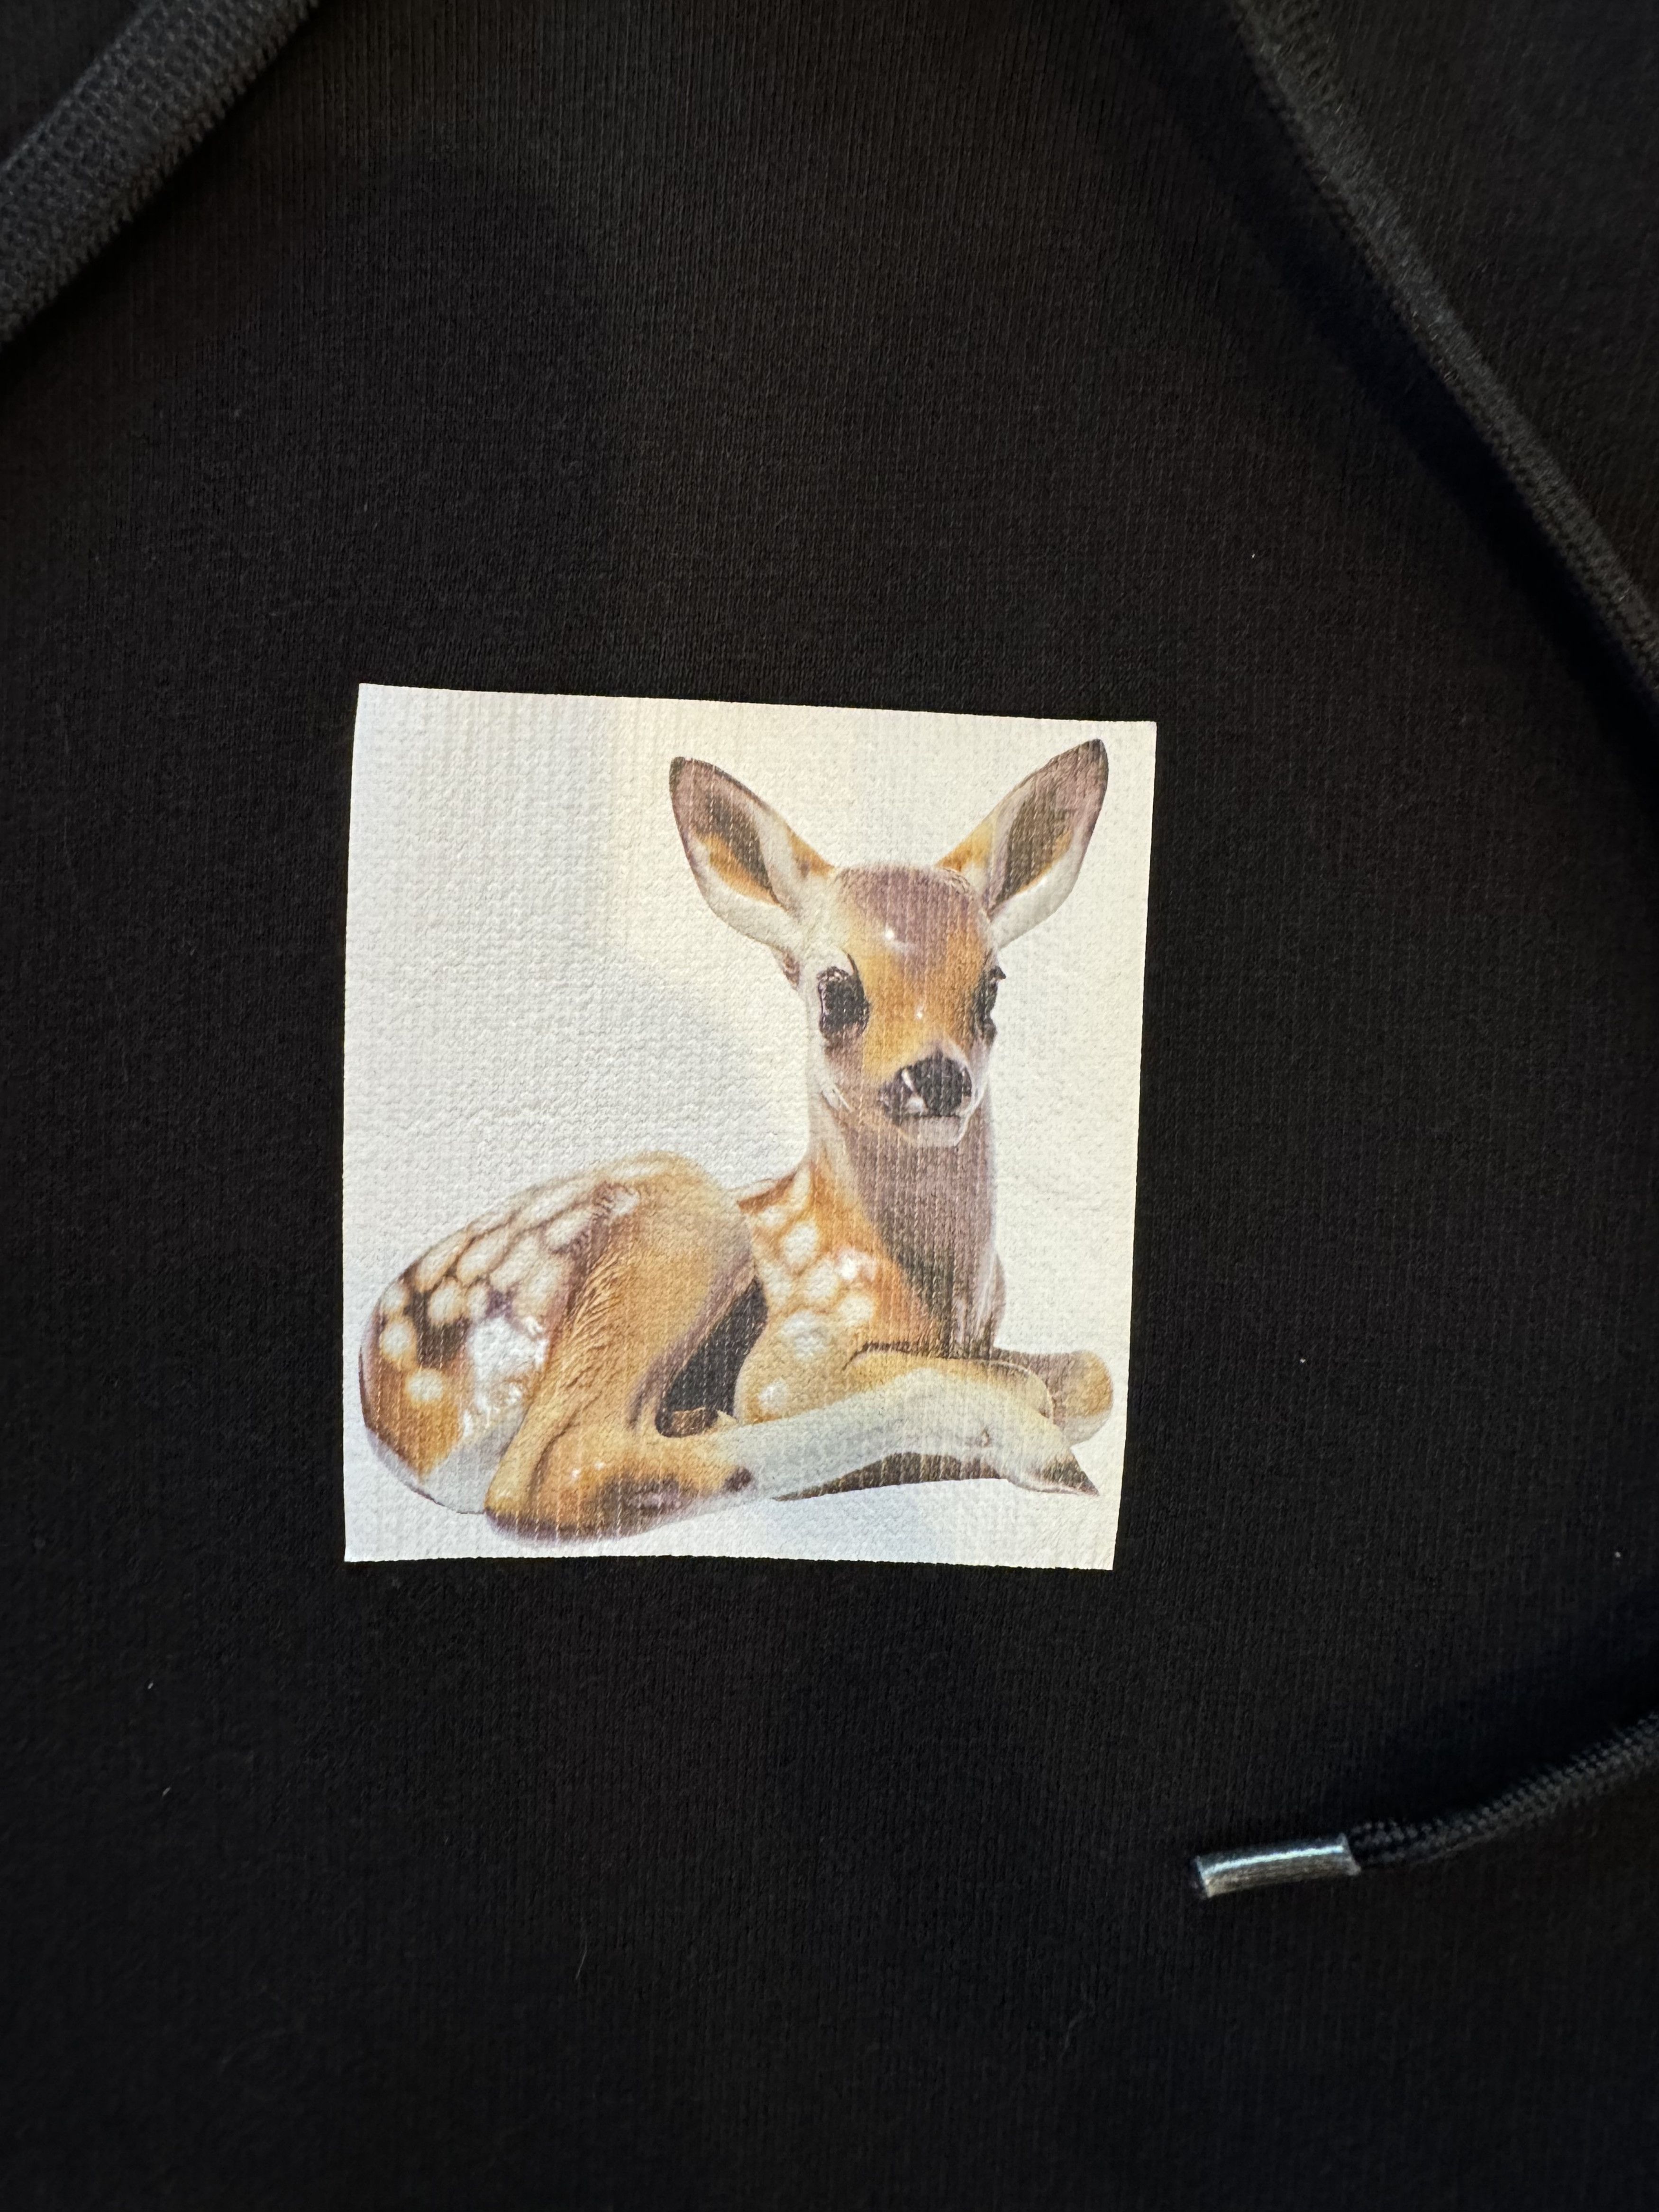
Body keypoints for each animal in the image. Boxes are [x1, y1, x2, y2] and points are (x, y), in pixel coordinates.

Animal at [359, 739, 1114, 1541]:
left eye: (992, 983)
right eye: (836, 989)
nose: (939, 1077)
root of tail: (394, 1422)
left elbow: (1092, 1373)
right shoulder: (793, 1354)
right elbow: (1009, 1382)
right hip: (685, 1217)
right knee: (555, 1471)